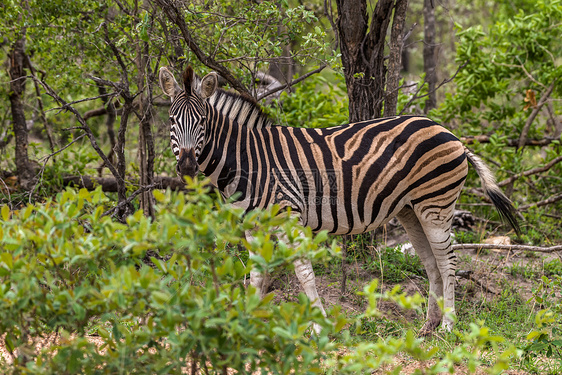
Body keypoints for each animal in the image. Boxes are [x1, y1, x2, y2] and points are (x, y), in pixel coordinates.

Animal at [156, 65, 516, 334]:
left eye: (202, 122)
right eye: (172, 121)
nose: (186, 167)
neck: (248, 160)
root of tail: (450, 133)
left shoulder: (289, 215)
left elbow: (303, 272)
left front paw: (319, 325)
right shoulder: (252, 224)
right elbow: (256, 275)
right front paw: (247, 319)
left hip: (435, 205)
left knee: (448, 262)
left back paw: (448, 326)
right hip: (410, 209)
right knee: (431, 264)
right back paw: (428, 325)